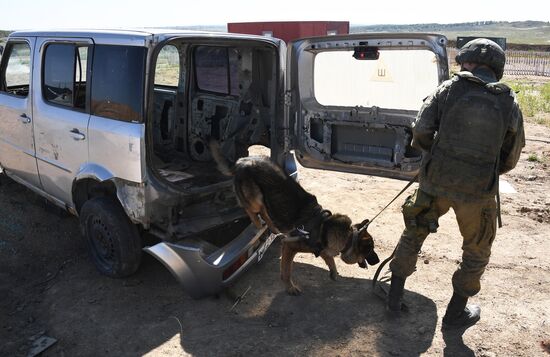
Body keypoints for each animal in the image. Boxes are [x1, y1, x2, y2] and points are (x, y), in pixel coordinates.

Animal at [209, 142, 382, 294]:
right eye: (370, 250)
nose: (379, 262)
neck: (325, 228)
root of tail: (240, 161)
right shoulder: (289, 247)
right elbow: (286, 271)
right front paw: (290, 287)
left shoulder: (321, 247)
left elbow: (329, 259)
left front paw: (333, 271)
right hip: (255, 197)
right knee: (252, 209)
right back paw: (258, 224)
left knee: (265, 210)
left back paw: (273, 227)